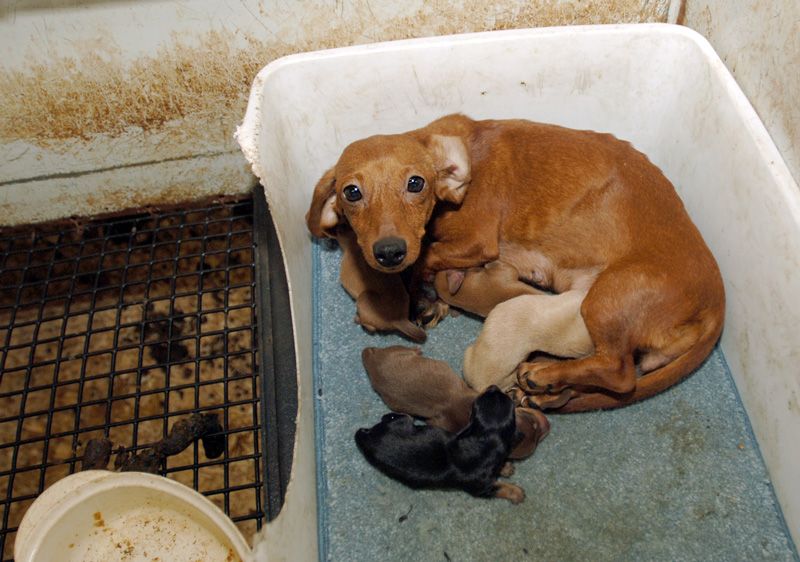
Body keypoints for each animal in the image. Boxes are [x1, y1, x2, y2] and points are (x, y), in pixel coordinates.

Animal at [356, 384, 524, 498]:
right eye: (475, 403)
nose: (493, 386)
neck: (485, 442)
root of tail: (366, 435)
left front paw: (506, 467)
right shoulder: (482, 489)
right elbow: (500, 488)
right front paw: (517, 493)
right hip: (401, 420)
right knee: (397, 415)